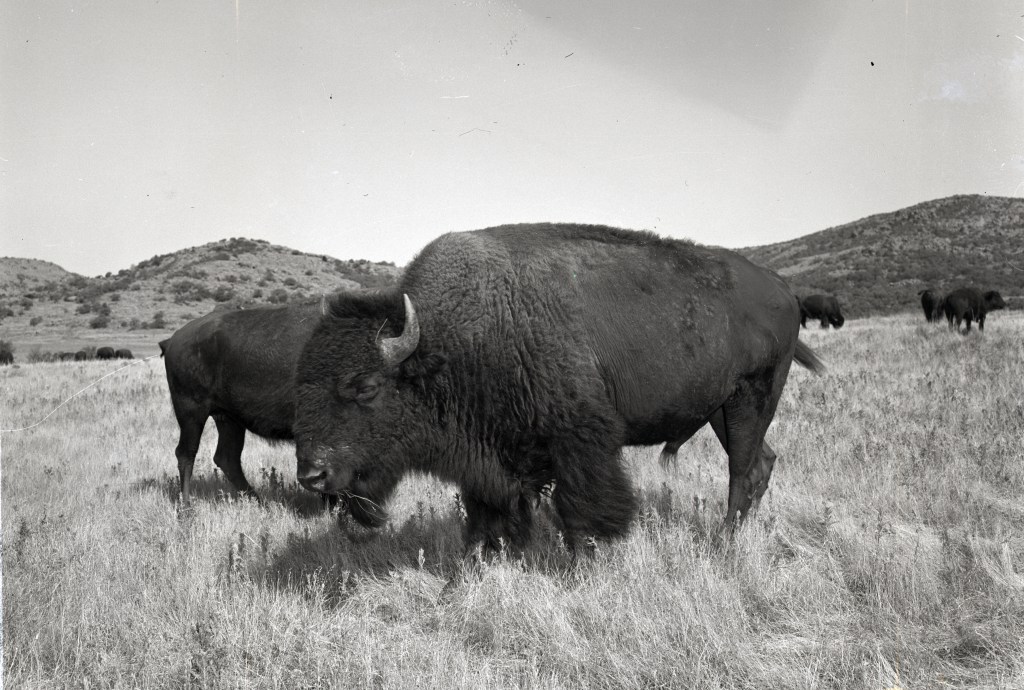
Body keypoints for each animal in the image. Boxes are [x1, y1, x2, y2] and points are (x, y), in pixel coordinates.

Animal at [160, 301, 327, 505]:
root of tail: (174, 339)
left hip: (228, 419)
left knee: (226, 457)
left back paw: (260, 502)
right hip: (191, 412)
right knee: (186, 453)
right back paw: (186, 507)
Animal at [293, 224, 823, 557]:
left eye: (365, 387)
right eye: (303, 383)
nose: (312, 474)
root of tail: (785, 289)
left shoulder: (581, 442)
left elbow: (583, 511)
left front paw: (584, 562)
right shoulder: (489, 462)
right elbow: (487, 516)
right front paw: (485, 560)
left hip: (750, 399)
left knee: (741, 471)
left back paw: (724, 542)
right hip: (721, 410)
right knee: (760, 462)